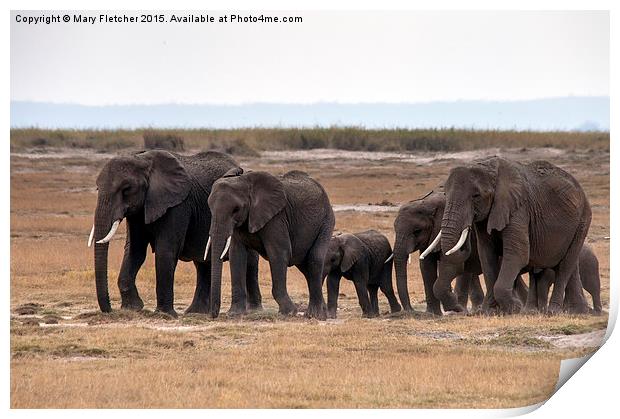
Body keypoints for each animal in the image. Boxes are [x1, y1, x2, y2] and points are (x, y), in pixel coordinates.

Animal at [88, 149, 260, 316]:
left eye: (126, 189)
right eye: (97, 188)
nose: (109, 310)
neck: (142, 159)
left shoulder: (178, 204)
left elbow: (166, 250)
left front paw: (164, 314)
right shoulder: (138, 211)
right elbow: (134, 251)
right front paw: (132, 308)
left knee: (249, 262)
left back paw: (253, 311)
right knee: (203, 263)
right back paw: (195, 312)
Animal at [206, 169, 334, 320]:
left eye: (236, 209)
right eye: (210, 208)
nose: (213, 315)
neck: (245, 181)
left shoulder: (276, 218)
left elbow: (279, 253)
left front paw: (288, 312)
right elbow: (237, 255)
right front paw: (234, 314)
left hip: (326, 221)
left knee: (314, 260)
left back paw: (315, 315)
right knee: (306, 267)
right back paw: (320, 313)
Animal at [438, 158, 588, 316]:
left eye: (476, 196)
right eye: (445, 194)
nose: (467, 227)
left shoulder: (518, 209)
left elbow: (517, 254)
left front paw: (514, 308)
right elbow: (487, 255)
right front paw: (489, 311)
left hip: (582, 221)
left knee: (565, 266)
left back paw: (554, 312)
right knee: (562, 266)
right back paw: (570, 311)